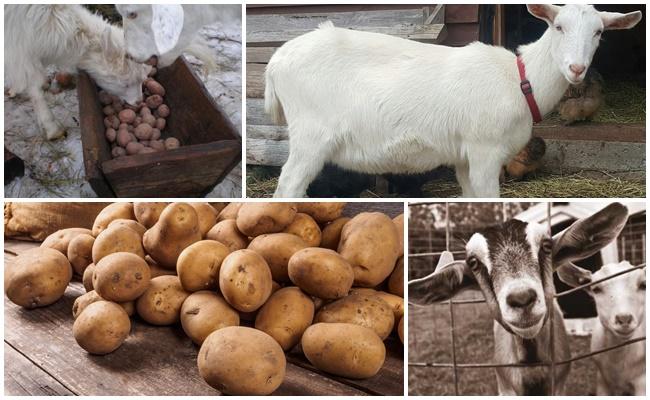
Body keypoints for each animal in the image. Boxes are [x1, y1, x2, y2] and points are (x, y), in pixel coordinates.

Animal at [4, 5, 150, 140]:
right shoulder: (18, 47)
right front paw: (53, 128)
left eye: (142, 80)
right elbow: (35, 87)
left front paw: (14, 88)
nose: (139, 101)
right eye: (125, 83)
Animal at [265, 5, 642, 197]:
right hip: (311, 136)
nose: (576, 69)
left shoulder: (464, 157)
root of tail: (277, 60)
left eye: (599, 32)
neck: (520, 79)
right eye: (558, 26)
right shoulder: (485, 151)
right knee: (287, 187)